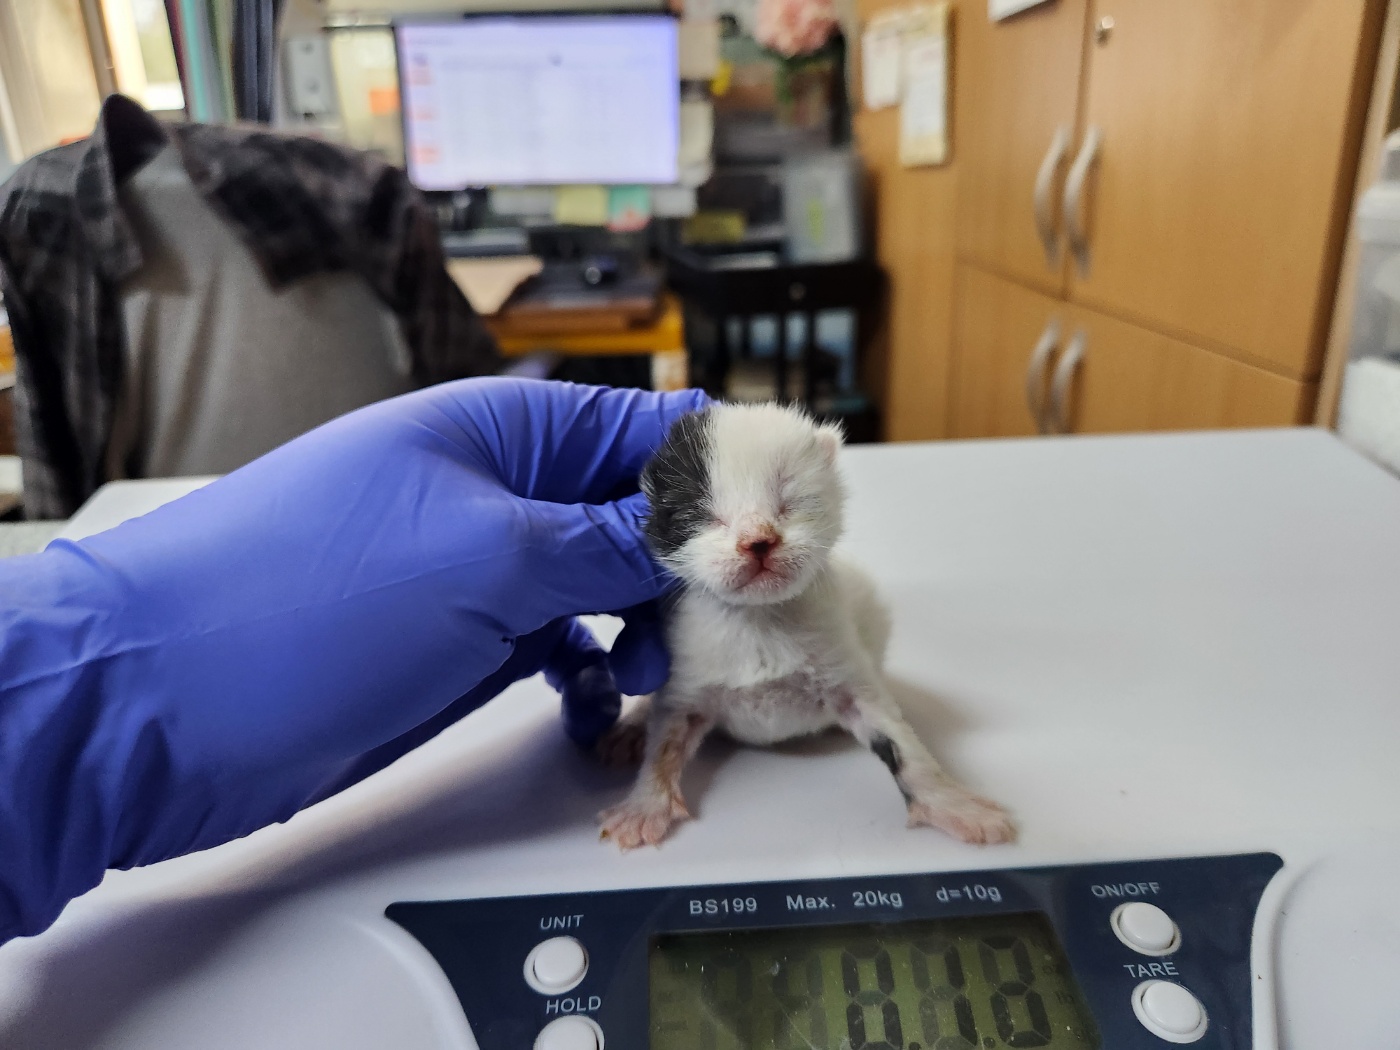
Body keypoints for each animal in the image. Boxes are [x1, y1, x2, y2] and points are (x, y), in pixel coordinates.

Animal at [596, 403, 1013, 856]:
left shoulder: (847, 672)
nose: (758, 540)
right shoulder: (686, 686)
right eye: (701, 515)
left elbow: (902, 746)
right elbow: (663, 745)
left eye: (790, 502)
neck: (759, 619)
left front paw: (954, 804)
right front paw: (644, 806)